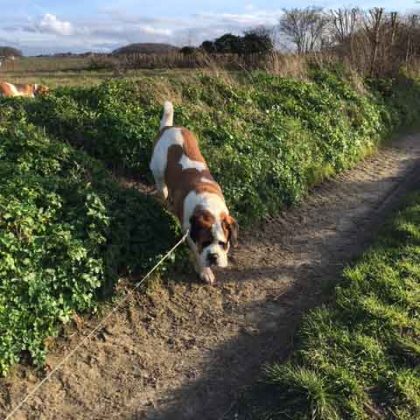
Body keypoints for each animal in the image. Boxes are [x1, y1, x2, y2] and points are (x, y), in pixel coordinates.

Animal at [151, 102, 238, 286]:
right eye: (205, 243)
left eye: (223, 244)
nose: (213, 256)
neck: (209, 208)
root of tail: (169, 127)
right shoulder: (189, 234)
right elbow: (197, 254)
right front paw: (204, 271)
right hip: (159, 172)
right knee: (162, 189)